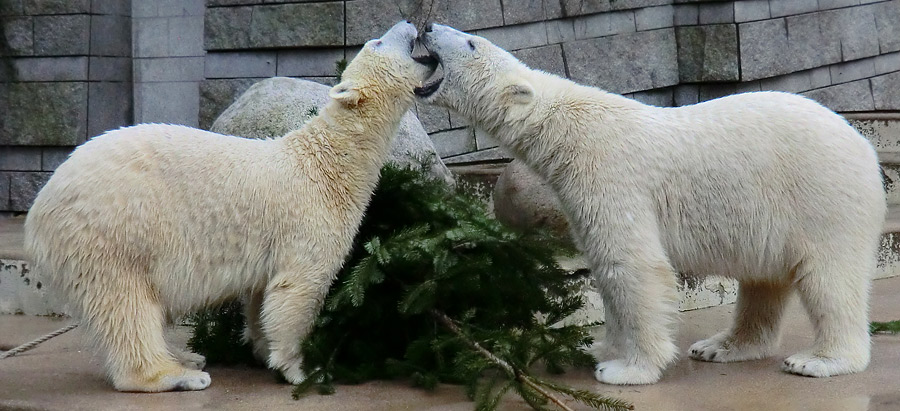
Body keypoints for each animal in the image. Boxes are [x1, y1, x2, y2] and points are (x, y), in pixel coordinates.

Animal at [26, 20, 434, 394]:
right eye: (378, 41)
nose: (410, 22)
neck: (326, 161)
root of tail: (38, 211)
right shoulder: (309, 220)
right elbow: (298, 290)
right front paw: (302, 369)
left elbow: (261, 298)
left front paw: (262, 348)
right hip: (110, 231)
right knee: (125, 303)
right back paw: (180, 374)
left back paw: (188, 357)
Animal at [414, 24, 884, 386]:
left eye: (471, 43)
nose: (427, 24)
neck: (564, 128)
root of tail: (865, 147)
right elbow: (605, 270)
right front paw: (601, 346)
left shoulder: (610, 174)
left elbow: (634, 265)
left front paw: (626, 370)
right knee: (763, 282)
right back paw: (719, 346)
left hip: (821, 199)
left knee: (829, 280)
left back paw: (819, 360)